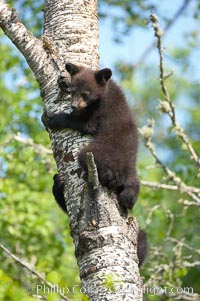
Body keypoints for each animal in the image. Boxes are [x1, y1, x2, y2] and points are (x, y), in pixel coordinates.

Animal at [44, 61, 140, 209]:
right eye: (73, 91)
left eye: (85, 94)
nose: (74, 106)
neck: (105, 91)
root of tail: (129, 171)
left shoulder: (100, 110)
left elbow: (85, 123)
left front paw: (52, 119)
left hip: (101, 154)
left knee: (88, 159)